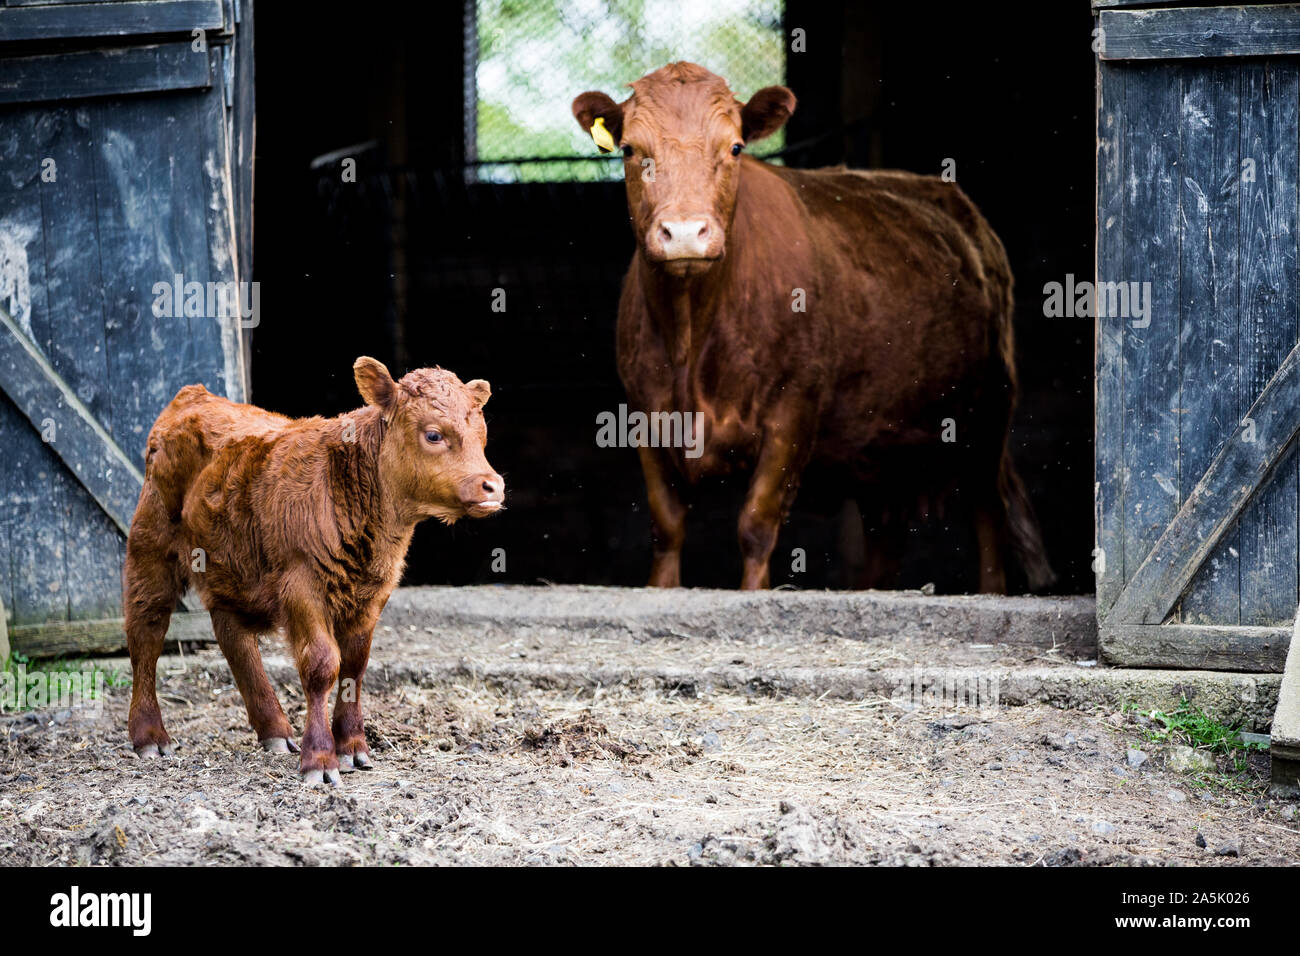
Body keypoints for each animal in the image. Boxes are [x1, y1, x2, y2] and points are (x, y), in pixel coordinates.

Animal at [123, 357, 504, 785]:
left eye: (482, 435)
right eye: (434, 434)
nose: (492, 485)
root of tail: (194, 395)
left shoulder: (373, 593)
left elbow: (354, 665)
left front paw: (352, 746)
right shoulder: (301, 584)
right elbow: (322, 665)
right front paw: (320, 757)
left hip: (230, 566)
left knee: (233, 637)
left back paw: (274, 730)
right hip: (151, 546)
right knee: (146, 633)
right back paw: (149, 735)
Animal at [572, 62, 1053, 593]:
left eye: (734, 147)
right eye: (630, 149)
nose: (683, 233)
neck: (690, 339)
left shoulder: (793, 411)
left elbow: (755, 525)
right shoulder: (646, 415)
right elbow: (667, 527)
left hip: (989, 414)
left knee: (989, 514)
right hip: (882, 450)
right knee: (886, 536)